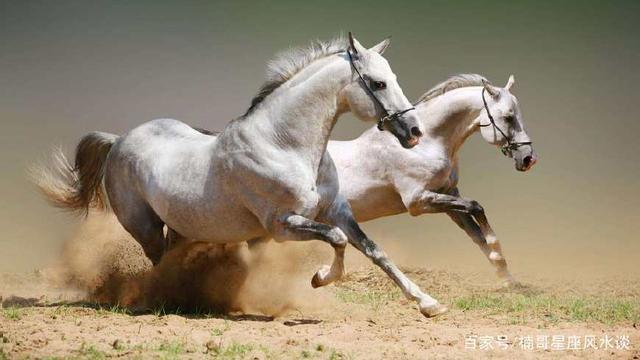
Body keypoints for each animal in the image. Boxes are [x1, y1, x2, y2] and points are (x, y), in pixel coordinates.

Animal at [330, 74, 536, 292]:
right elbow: (476, 207)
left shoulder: (449, 195)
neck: (425, 145)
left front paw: (507, 278)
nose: (528, 159)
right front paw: (497, 252)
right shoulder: (418, 202)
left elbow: (476, 233)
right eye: (508, 117)